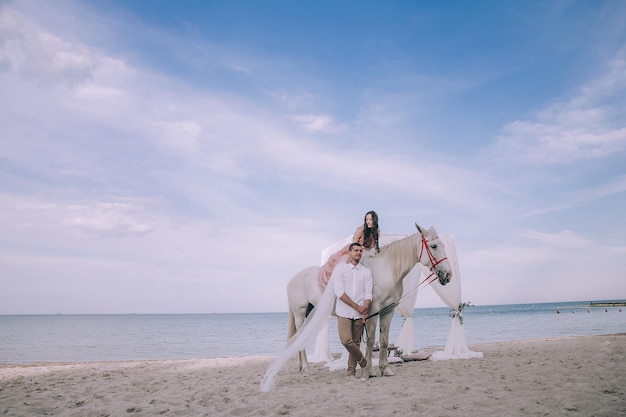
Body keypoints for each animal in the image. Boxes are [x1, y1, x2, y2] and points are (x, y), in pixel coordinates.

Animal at [286, 224, 450, 376]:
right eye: (434, 246)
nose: (448, 274)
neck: (386, 270)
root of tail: (292, 280)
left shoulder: (388, 310)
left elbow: (384, 340)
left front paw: (385, 369)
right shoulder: (373, 310)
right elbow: (371, 340)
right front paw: (370, 370)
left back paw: (301, 368)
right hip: (300, 313)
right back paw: (306, 369)